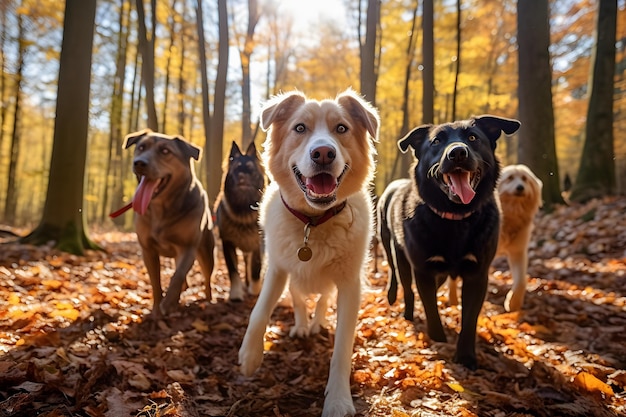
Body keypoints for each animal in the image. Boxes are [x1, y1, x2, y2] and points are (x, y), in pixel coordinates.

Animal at [213, 140, 264, 300]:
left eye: (250, 169)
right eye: (236, 169)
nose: (241, 176)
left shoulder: (257, 244)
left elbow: (256, 268)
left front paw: (255, 290)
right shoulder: (227, 243)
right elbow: (233, 271)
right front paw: (236, 294)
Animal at [236, 88, 378, 416]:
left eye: (341, 128)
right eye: (300, 128)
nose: (323, 153)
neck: (312, 222)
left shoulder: (350, 285)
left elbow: (342, 349)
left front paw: (338, 399)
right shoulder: (277, 268)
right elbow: (259, 311)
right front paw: (250, 356)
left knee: (322, 300)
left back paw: (317, 324)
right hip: (293, 281)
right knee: (300, 299)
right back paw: (302, 326)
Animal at [378, 114, 520, 368]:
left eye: (473, 138)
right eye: (436, 141)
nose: (458, 153)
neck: (456, 219)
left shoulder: (477, 274)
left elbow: (470, 318)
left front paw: (465, 356)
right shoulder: (423, 270)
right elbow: (431, 308)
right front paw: (437, 339)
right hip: (394, 251)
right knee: (402, 282)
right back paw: (402, 307)